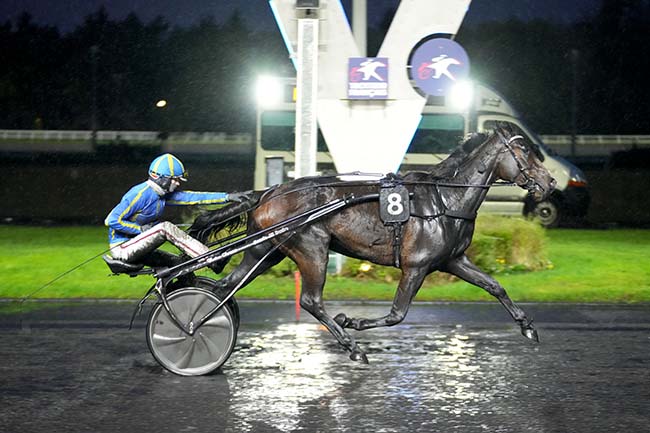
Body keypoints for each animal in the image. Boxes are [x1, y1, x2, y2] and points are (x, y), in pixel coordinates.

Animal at [190, 124, 556, 362]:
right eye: (524, 150)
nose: (550, 182)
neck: (444, 199)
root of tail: (269, 192)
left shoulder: (453, 260)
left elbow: (495, 286)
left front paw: (527, 326)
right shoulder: (416, 266)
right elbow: (396, 314)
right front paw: (352, 321)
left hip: (266, 250)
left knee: (227, 285)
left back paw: (197, 321)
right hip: (311, 248)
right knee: (310, 300)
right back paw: (352, 347)